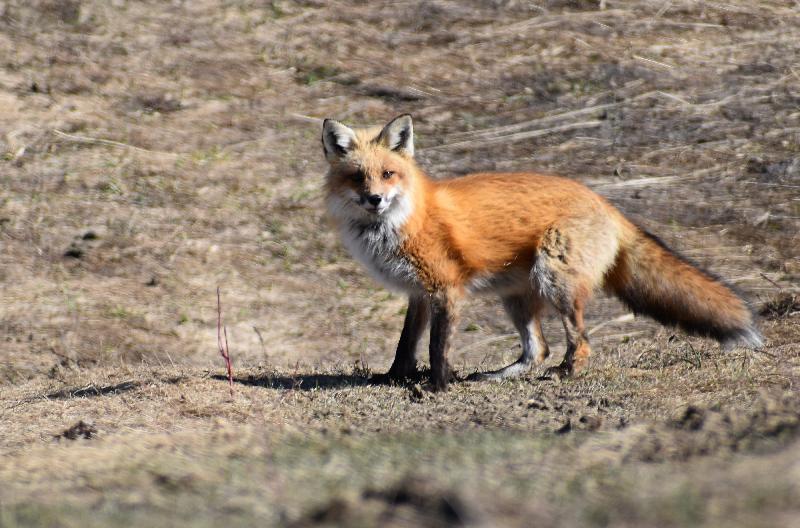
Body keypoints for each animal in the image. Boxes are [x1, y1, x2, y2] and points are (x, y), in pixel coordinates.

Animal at [320, 113, 764, 390]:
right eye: (357, 177)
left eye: (388, 174)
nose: (375, 199)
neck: (402, 222)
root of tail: (606, 204)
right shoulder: (419, 293)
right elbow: (405, 344)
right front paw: (394, 378)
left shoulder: (446, 289)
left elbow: (436, 346)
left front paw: (438, 387)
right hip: (516, 298)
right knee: (538, 349)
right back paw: (499, 376)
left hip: (555, 281)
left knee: (578, 342)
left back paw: (566, 373)